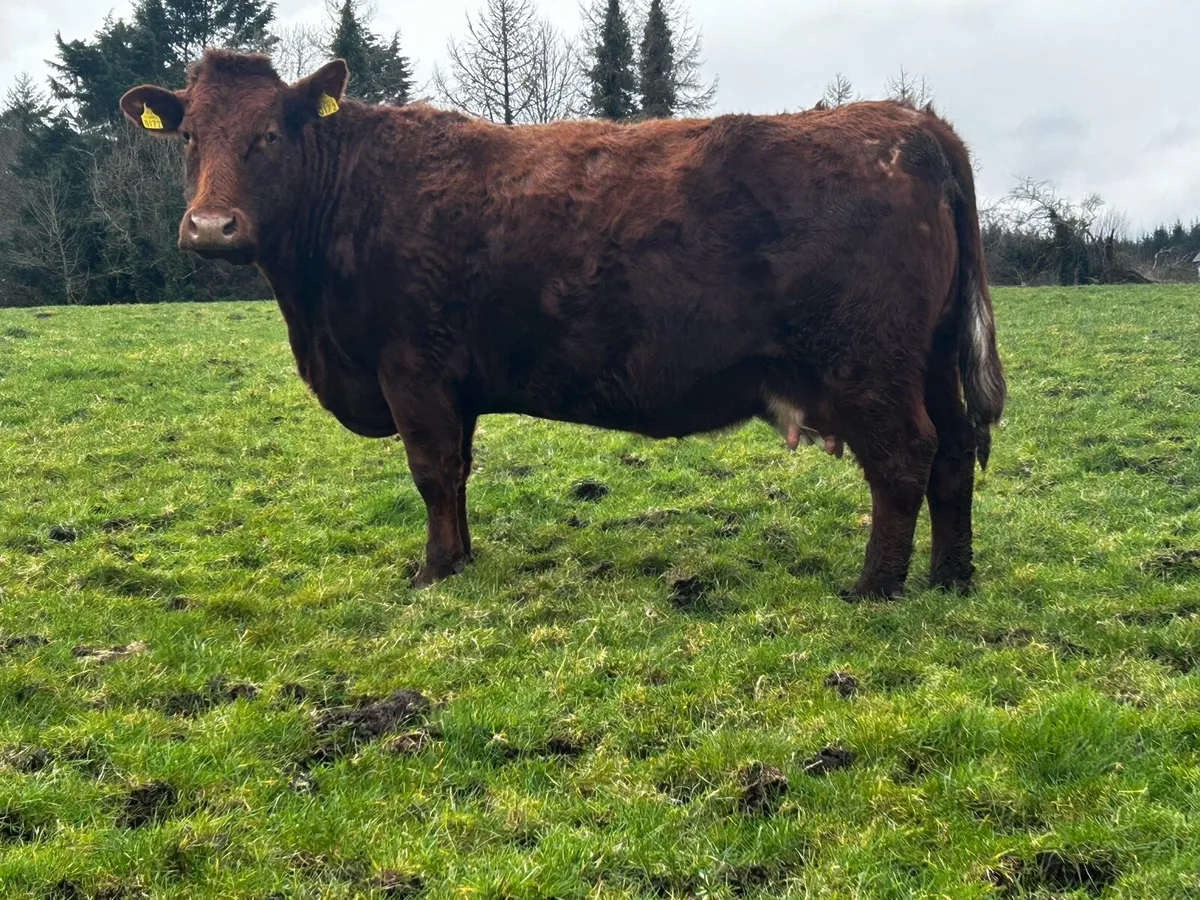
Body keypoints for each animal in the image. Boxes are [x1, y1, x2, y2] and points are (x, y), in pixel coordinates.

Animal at [119, 50, 1006, 598]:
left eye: (270, 134)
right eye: (189, 136)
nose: (211, 227)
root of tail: (914, 124)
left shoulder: (411, 369)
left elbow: (430, 471)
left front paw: (433, 571)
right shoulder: (451, 385)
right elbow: (456, 473)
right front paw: (462, 557)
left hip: (869, 364)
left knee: (905, 457)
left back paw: (875, 588)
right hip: (927, 359)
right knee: (954, 452)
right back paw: (951, 576)